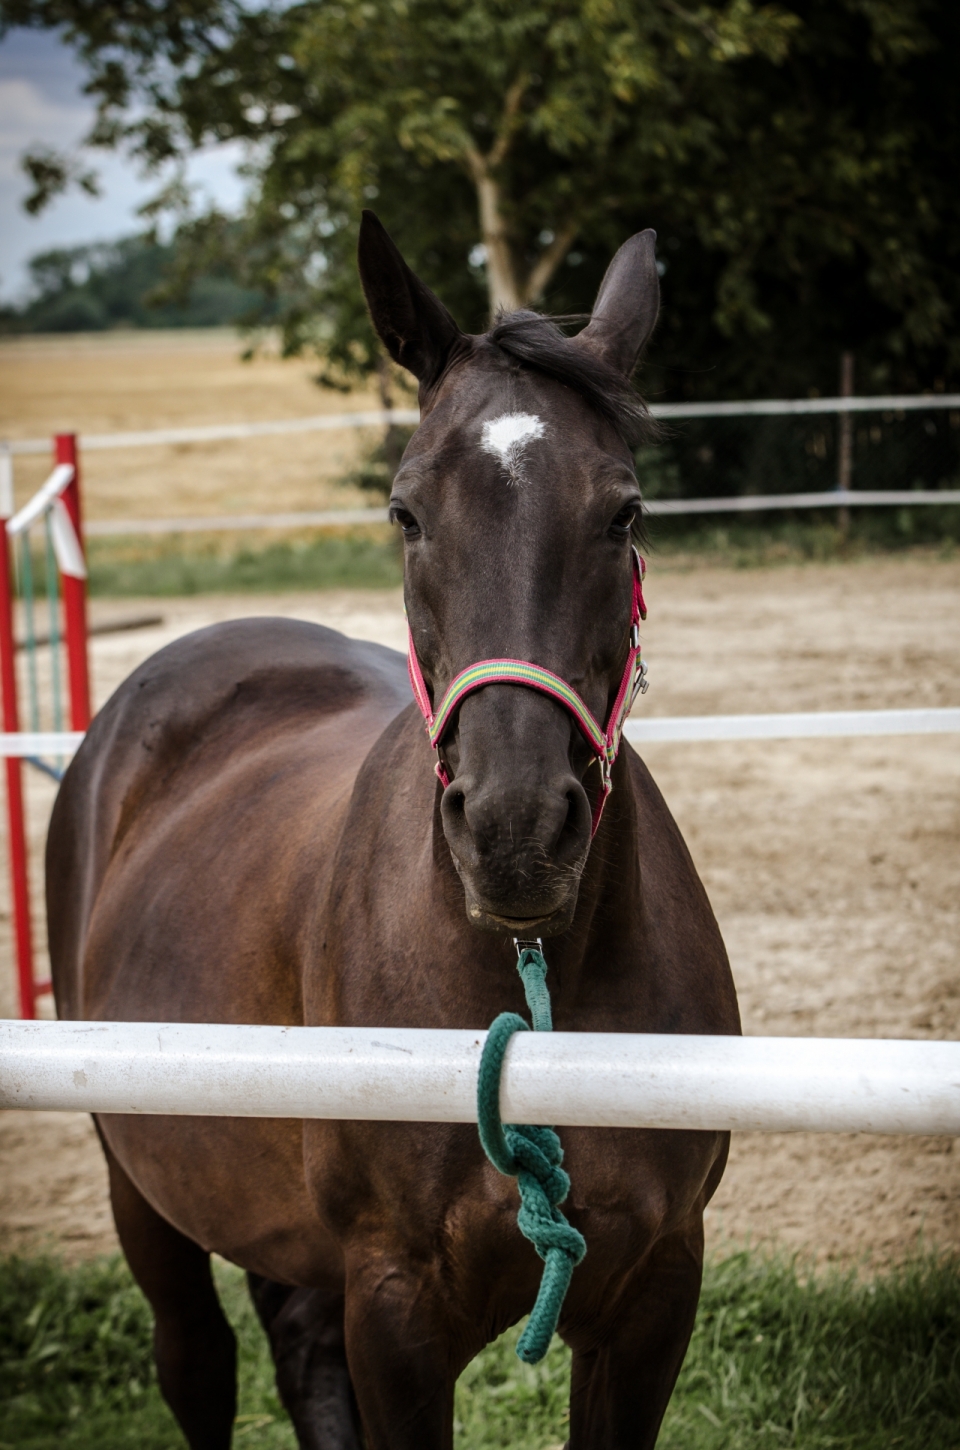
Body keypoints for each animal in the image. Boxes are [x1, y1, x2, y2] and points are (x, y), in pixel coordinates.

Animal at [47, 214, 742, 1450]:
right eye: (406, 511)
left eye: (624, 512)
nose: (516, 828)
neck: (534, 988)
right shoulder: (396, 1308)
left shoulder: (657, 1292)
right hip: (143, 1189)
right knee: (198, 1361)